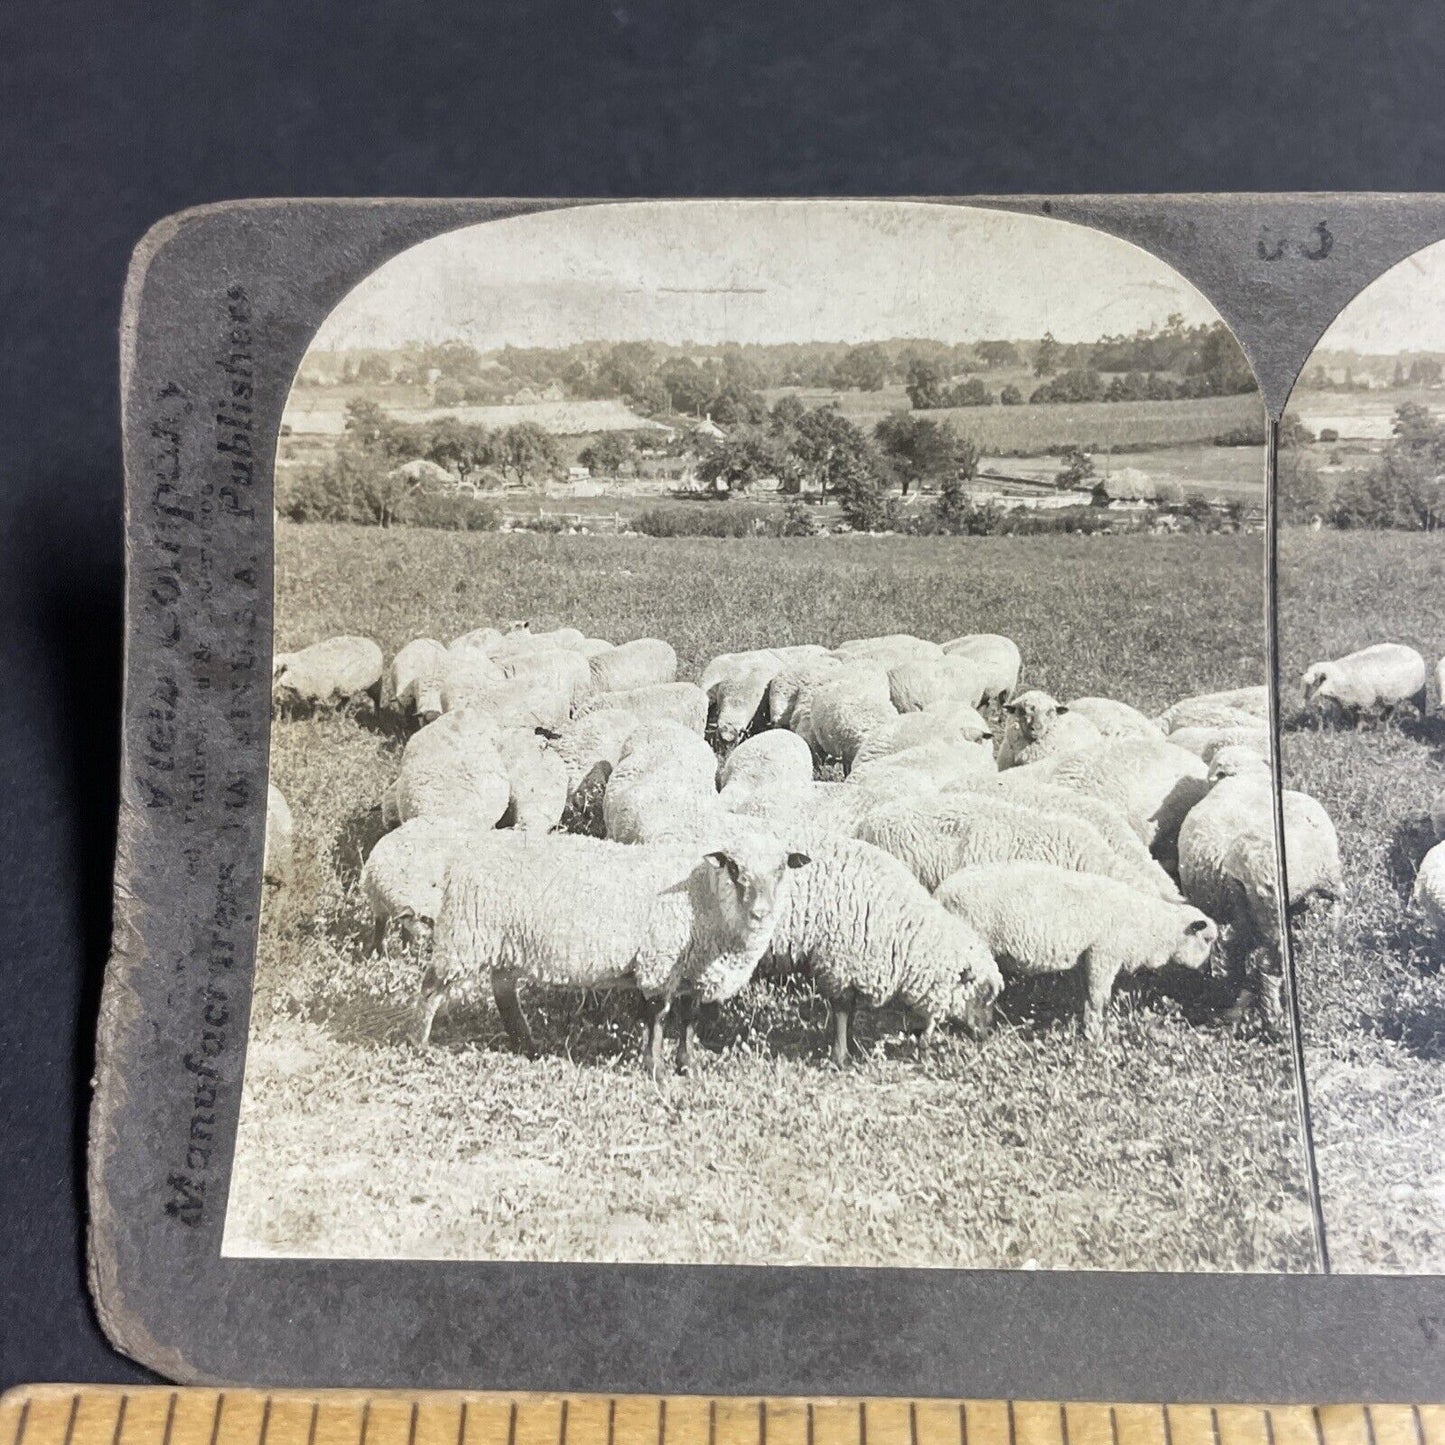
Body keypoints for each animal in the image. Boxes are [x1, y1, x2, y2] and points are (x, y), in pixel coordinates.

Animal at [424, 826, 814, 1075]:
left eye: (782, 868)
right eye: (733, 868)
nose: (760, 912)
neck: (702, 897)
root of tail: (465, 854)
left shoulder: (692, 971)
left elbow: (689, 1019)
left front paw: (687, 1066)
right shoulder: (660, 962)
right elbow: (657, 1016)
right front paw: (655, 1070)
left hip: (505, 942)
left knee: (504, 992)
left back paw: (527, 1046)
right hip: (465, 935)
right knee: (431, 986)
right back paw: (419, 1041)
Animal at [768, 843, 1005, 1069]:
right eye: (983, 993)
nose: (988, 1034)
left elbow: (850, 1010)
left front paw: (850, 1047)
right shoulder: (837, 958)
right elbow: (842, 1009)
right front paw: (840, 1057)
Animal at [936, 861, 1219, 1046]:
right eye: (1207, 939)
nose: (1207, 973)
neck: (1147, 926)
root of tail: (940, 893)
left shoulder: (1088, 957)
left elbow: (1087, 995)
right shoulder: (1103, 954)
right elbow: (1098, 999)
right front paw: (1094, 1036)